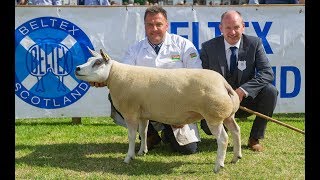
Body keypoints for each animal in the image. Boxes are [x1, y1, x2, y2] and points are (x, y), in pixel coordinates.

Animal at [74, 47, 241, 173]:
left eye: (97, 62)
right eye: (89, 60)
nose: (77, 68)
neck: (115, 75)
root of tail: (224, 84)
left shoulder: (130, 113)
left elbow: (131, 136)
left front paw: (128, 157)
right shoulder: (142, 114)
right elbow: (143, 132)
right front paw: (142, 151)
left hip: (214, 116)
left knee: (223, 139)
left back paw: (218, 166)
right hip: (228, 115)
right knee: (236, 130)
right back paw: (236, 157)